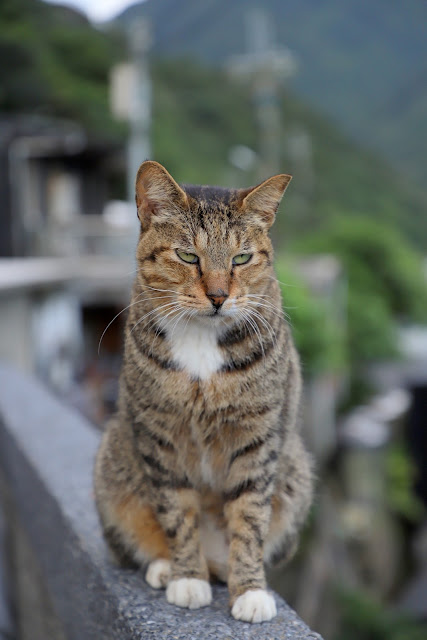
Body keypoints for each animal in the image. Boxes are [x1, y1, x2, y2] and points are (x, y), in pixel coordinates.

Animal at [94, 161, 314, 624]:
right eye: (188, 256)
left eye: (241, 258)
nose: (217, 296)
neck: (201, 340)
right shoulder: (159, 435)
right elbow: (177, 512)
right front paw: (187, 577)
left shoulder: (257, 436)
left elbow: (249, 516)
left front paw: (250, 589)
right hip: (114, 462)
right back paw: (169, 566)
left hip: (296, 470)